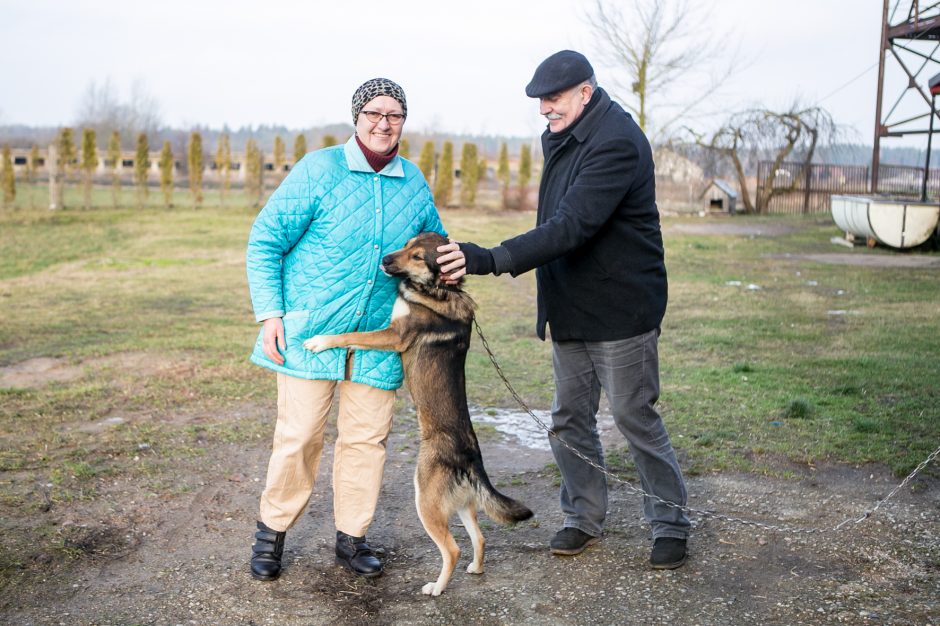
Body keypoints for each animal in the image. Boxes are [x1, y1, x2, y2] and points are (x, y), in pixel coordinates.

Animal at [304, 230, 532, 596]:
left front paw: (320, 341)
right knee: (480, 537)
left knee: (452, 549)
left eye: (417, 257)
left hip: (424, 499)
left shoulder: (394, 335)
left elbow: (353, 334)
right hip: (460, 503)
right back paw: (476, 569)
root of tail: (470, 458)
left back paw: (436, 588)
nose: (385, 259)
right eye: (407, 244)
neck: (439, 289)